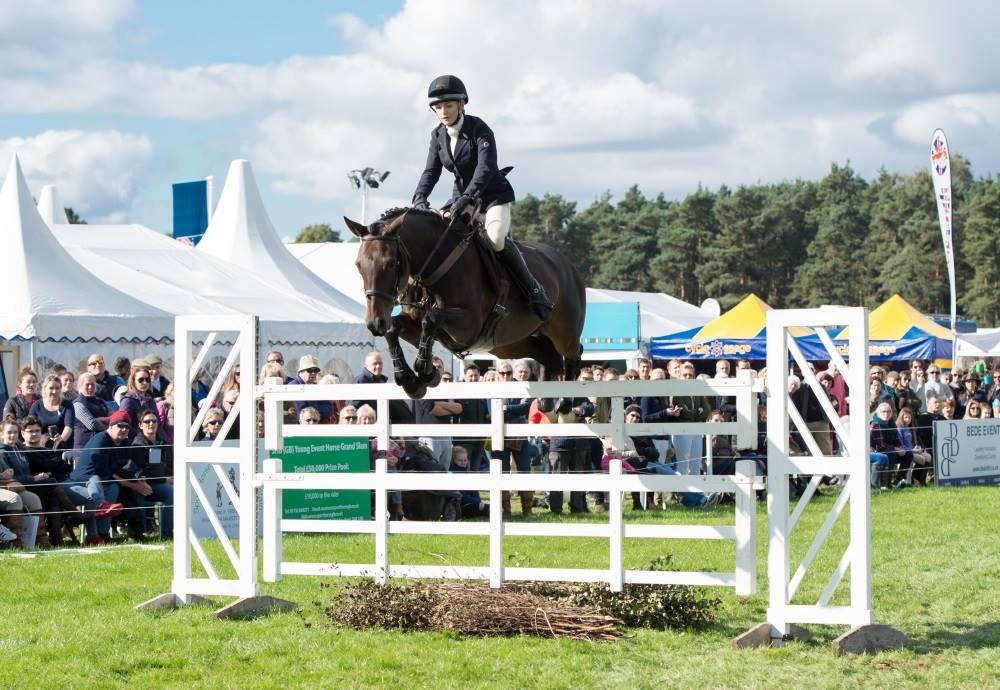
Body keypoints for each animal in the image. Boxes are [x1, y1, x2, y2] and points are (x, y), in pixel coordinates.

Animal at [344, 206, 584, 398]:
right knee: (548, 354)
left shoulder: (469, 326)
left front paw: (425, 371)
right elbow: (395, 329)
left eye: (391, 263)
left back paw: (565, 403)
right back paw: (548, 402)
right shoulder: (414, 323)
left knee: (574, 354)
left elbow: (431, 319)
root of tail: (569, 266)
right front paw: (410, 380)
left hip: (564, 334)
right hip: (507, 345)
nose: (375, 323)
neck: (435, 266)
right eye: (358, 265)